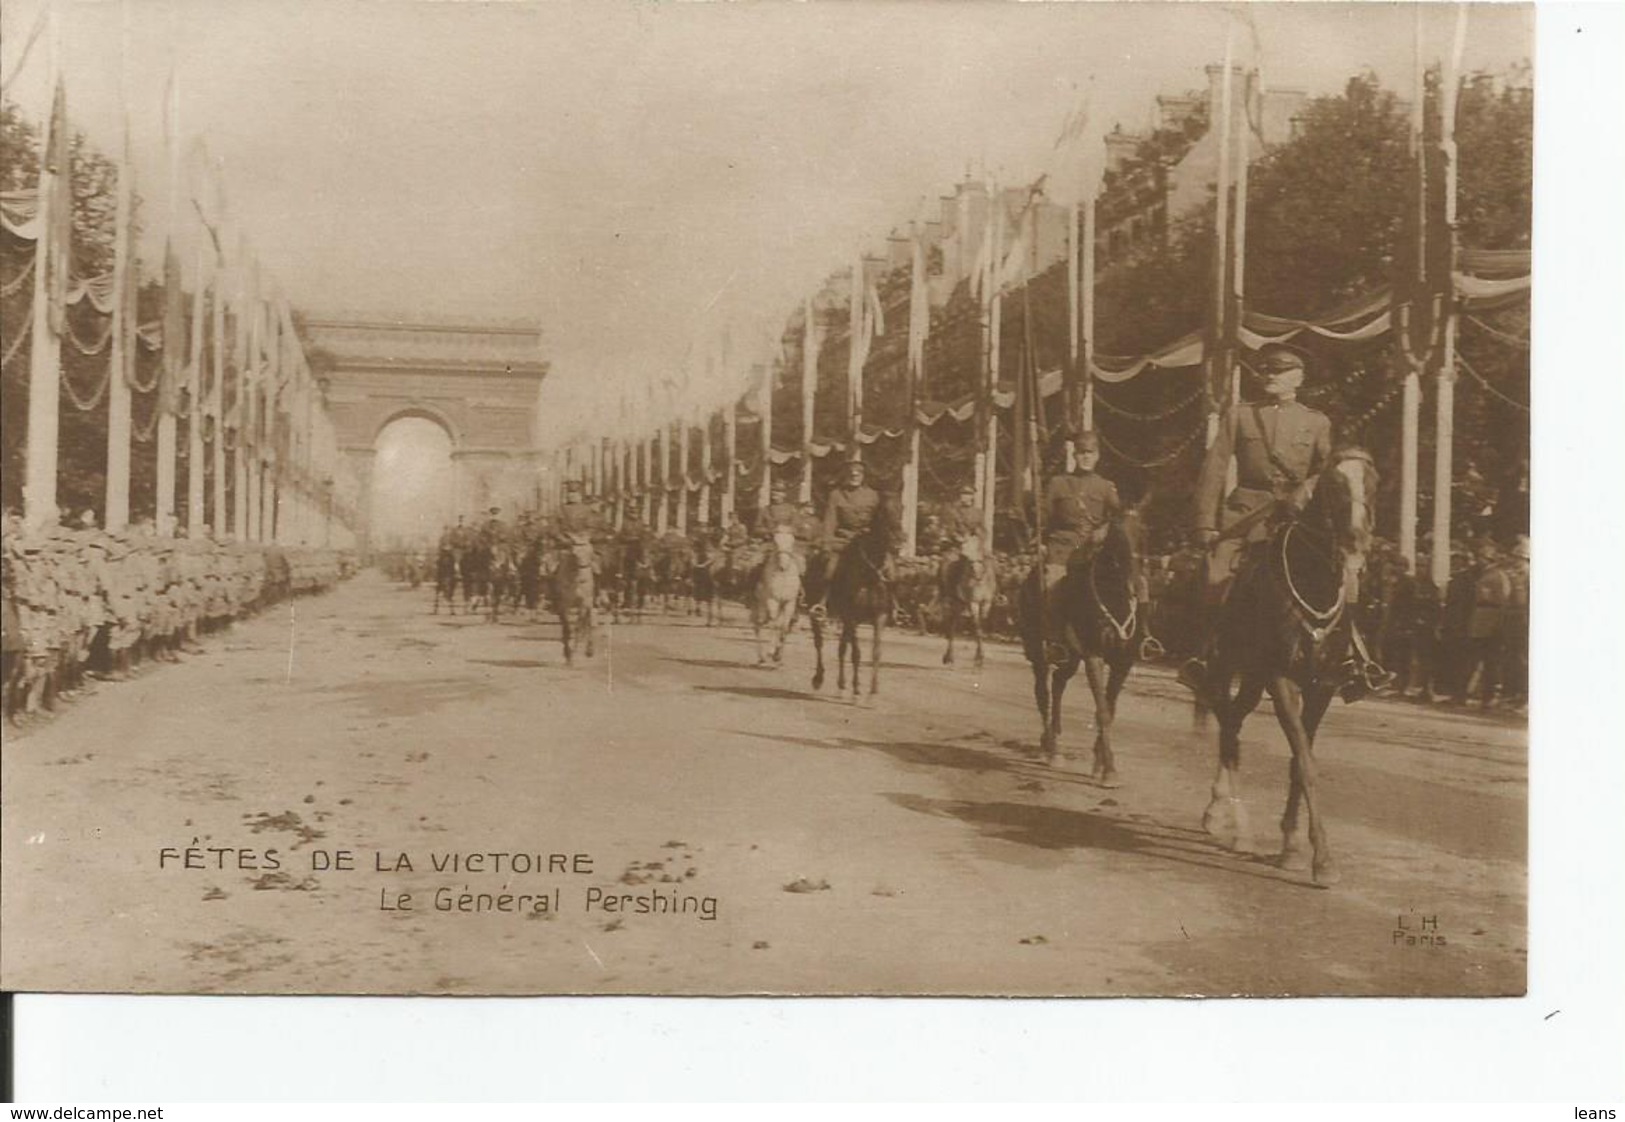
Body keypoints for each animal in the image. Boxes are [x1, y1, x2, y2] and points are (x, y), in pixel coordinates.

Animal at [812, 500, 903, 699]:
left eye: (902, 508)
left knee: (841, 647)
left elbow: (876, 652)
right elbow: (856, 653)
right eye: (884, 512)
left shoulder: (880, 616)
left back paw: (841, 685)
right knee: (819, 643)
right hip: (818, 614)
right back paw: (818, 678)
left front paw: (873, 692)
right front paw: (857, 689)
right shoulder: (851, 616)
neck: (870, 574)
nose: (900, 539)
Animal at [1014, 520, 1144, 783]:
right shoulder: (1094, 656)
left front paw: (1099, 762)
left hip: (1071, 658)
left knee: (1058, 682)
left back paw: (1053, 743)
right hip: (1037, 651)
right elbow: (1102, 711)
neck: (1114, 598)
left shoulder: (1122, 662)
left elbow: (1109, 710)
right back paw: (1050, 748)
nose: (1134, 586)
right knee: (1043, 694)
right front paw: (1109, 769)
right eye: (1116, 538)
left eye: (1142, 533)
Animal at [1202, 445, 1378, 884]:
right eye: (1333, 484)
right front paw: (1322, 860)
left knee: (1234, 720)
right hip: (1230, 668)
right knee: (1228, 727)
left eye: (1374, 483)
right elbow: (1306, 761)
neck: (1313, 581)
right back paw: (1232, 822)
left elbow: (1301, 762)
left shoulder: (1323, 686)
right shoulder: (1282, 680)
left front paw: (1293, 847)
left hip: (1251, 679)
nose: (1355, 545)